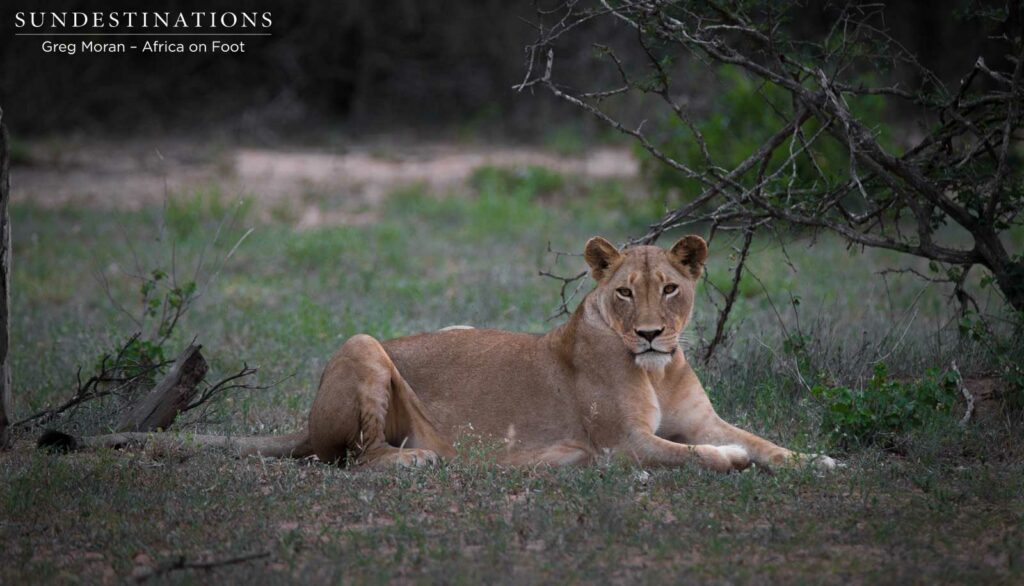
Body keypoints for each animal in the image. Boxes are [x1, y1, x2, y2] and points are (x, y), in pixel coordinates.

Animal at [43, 236, 835, 473]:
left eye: (669, 289)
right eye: (622, 295)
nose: (647, 334)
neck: (660, 370)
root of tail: (304, 422)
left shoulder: (702, 417)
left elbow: (763, 440)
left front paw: (819, 460)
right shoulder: (624, 443)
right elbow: (698, 453)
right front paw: (730, 462)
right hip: (363, 347)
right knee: (351, 459)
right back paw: (420, 460)